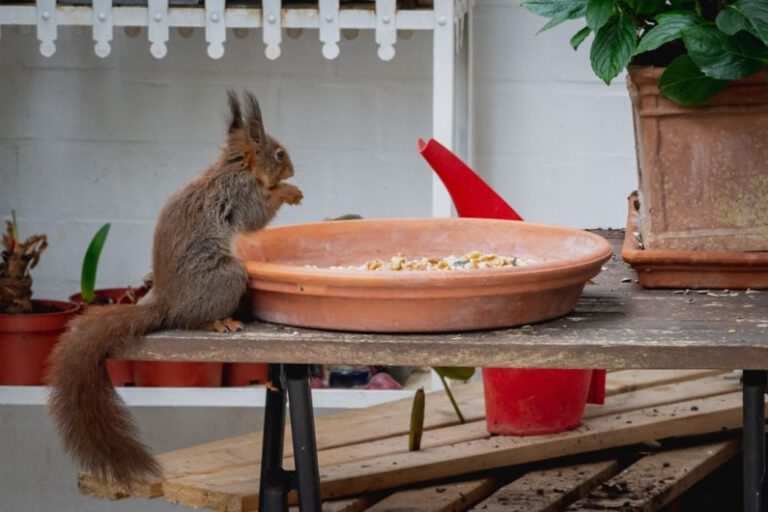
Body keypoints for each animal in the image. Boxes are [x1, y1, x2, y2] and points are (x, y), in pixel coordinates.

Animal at [46, 92, 304, 488]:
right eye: (278, 154)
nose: (291, 169)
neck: (234, 167)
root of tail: (167, 303)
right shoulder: (242, 194)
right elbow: (256, 215)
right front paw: (286, 192)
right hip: (228, 278)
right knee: (193, 319)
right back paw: (220, 322)